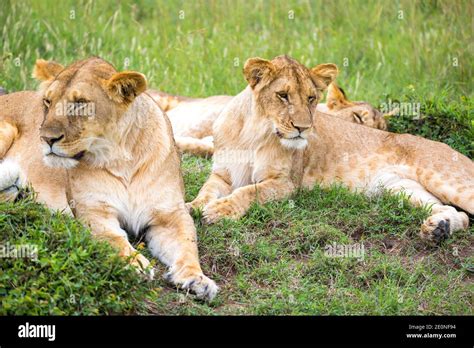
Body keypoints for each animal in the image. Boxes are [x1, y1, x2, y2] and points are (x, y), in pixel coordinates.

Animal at [0, 58, 218, 300]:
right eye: (47, 101)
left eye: (80, 103)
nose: (45, 138)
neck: (120, 159)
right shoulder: (94, 212)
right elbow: (114, 239)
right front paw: (135, 264)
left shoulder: (170, 214)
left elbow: (188, 245)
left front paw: (197, 279)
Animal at [187, 55, 472, 245]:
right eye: (283, 96)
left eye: (311, 98)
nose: (303, 128)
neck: (254, 133)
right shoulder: (223, 174)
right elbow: (206, 190)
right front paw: (193, 207)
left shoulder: (286, 183)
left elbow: (248, 192)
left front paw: (220, 211)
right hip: (400, 188)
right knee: (458, 214)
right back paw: (438, 229)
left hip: (449, 180)